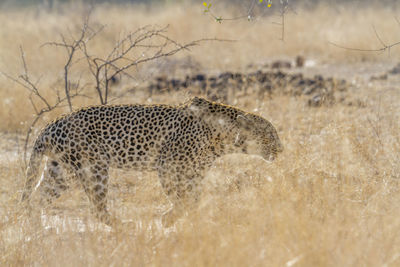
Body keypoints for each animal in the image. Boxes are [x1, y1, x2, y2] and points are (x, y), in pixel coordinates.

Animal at [20, 96, 282, 226]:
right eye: (270, 135)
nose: (281, 149)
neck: (222, 137)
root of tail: (49, 126)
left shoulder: (195, 173)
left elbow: (194, 199)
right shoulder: (168, 166)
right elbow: (182, 198)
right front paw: (168, 219)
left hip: (59, 172)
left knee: (36, 199)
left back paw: (36, 230)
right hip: (93, 168)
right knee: (96, 208)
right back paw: (125, 226)